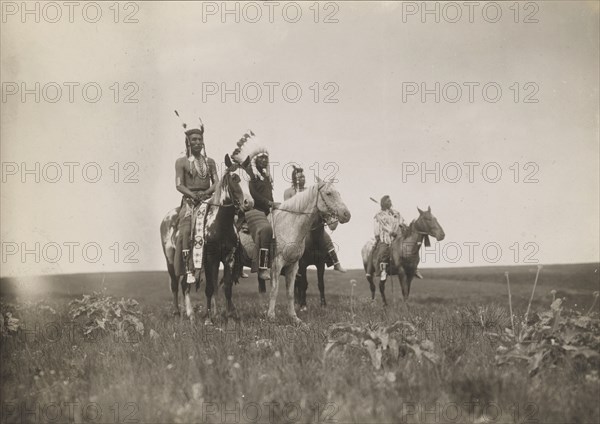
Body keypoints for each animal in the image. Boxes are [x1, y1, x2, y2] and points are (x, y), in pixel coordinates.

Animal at [159, 154, 251, 322]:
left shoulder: (228, 257)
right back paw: (178, 312)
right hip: (170, 259)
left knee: (185, 284)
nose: (249, 203)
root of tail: (167, 217)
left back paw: (191, 314)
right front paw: (208, 318)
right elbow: (209, 288)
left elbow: (226, 287)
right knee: (176, 284)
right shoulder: (209, 257)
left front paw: (228, 316)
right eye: (234, 178)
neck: (220, 223)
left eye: (250, 178)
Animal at [240, 181, 352, 322]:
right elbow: (275, 289)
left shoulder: (295, 265)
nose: (346, 215)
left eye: (339, 193)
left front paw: (294, 317)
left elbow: (291, 292)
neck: (290, 226)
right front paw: (271, 316)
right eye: (328, 193)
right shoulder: (278, 264)